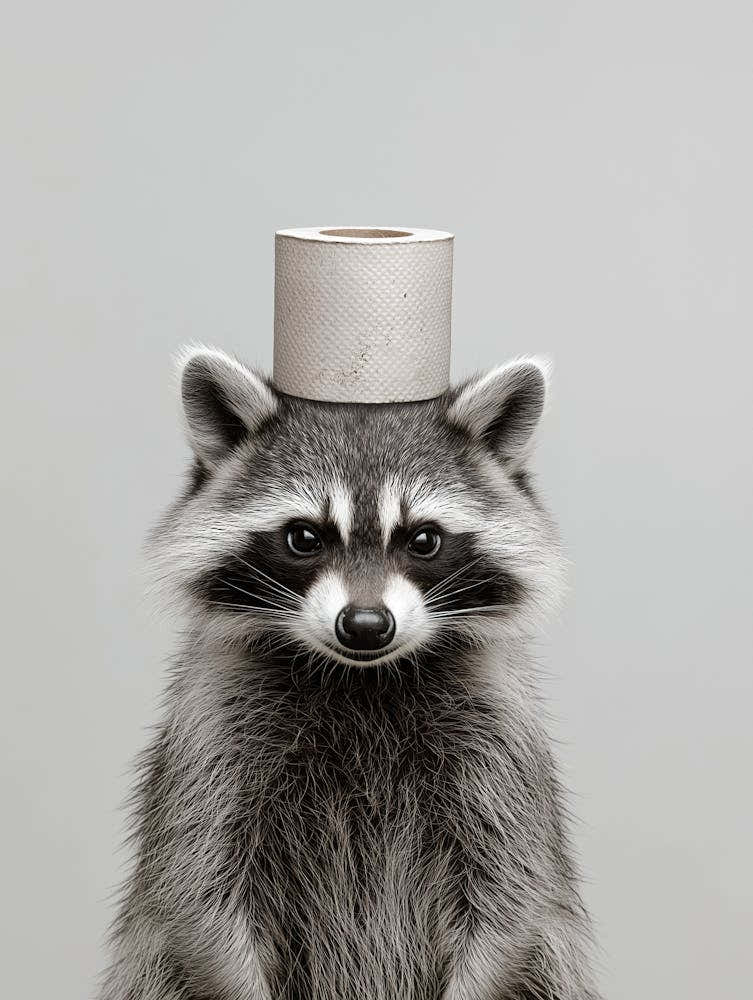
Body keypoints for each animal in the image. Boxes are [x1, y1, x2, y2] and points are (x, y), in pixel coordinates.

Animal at [100, 347, 601, 1000]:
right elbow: (196, 897)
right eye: (304, 537)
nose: (365, 625)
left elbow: (513, 898)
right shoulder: (214, 739)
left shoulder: (496, 744)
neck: (361, 677)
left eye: (423, 539)